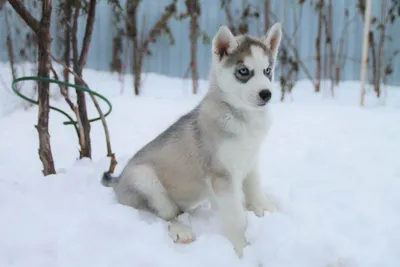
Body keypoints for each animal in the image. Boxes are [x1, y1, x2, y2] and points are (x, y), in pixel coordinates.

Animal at [101, 22, 282, 258]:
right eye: (244, 71)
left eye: (268, 70)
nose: (266, 94)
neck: (243, 118)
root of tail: (119, 179)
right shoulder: (222, 176)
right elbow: (236, 218)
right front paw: (242, 250)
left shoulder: (251, 159)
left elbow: (254, 188)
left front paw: (266, 210)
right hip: (146, 180)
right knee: (167, 215)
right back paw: (181, 231)